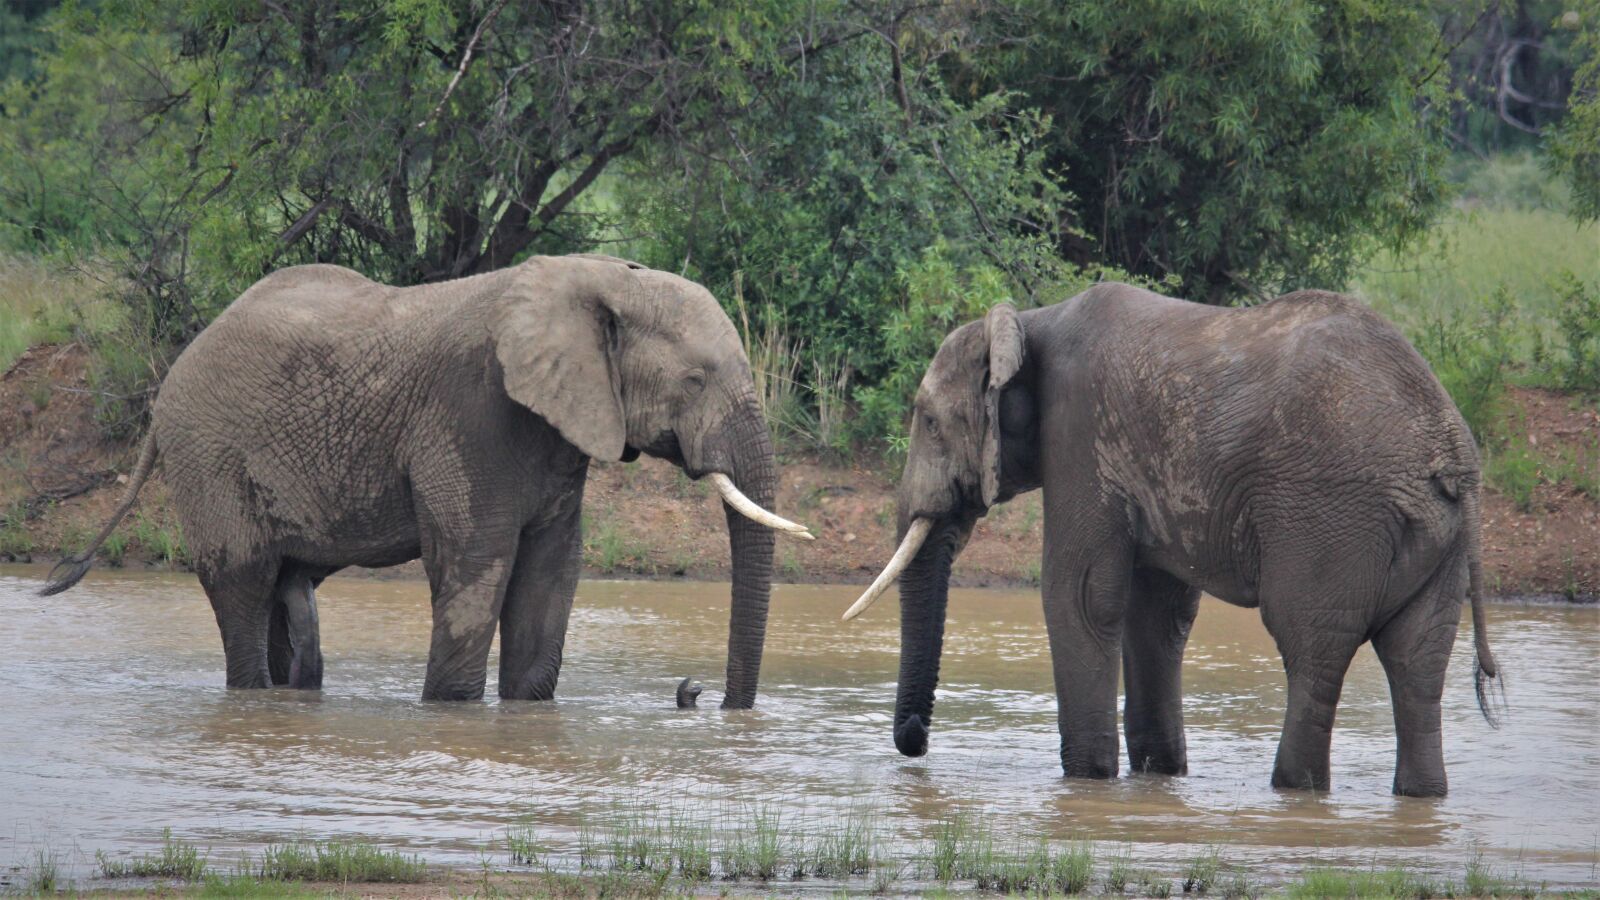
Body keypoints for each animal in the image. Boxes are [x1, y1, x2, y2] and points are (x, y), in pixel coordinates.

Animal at [43, 253, 812, 707]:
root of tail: (167, 386)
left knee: (285, 590)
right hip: (209, 457)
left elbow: (550, 575)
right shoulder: (471, 414)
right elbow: (476, 567)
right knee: (242, 585)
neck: (596, 280)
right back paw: (256, 698)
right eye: (696, 379)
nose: (694, 692)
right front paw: (453, 713)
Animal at [844, 283, 1499, 797]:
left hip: (1331, 518)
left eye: (929, 422)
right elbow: (1154, 613)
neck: (1030, 321)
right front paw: (1158, 777)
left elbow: (1078, 597)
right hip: (1437, 539)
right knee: (1417, 660)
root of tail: (1449, 451)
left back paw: (1294, 789)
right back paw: (1420, 795)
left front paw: (1087, 780)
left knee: (1311, 645)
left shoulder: (1079, 435)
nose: (915, 742)